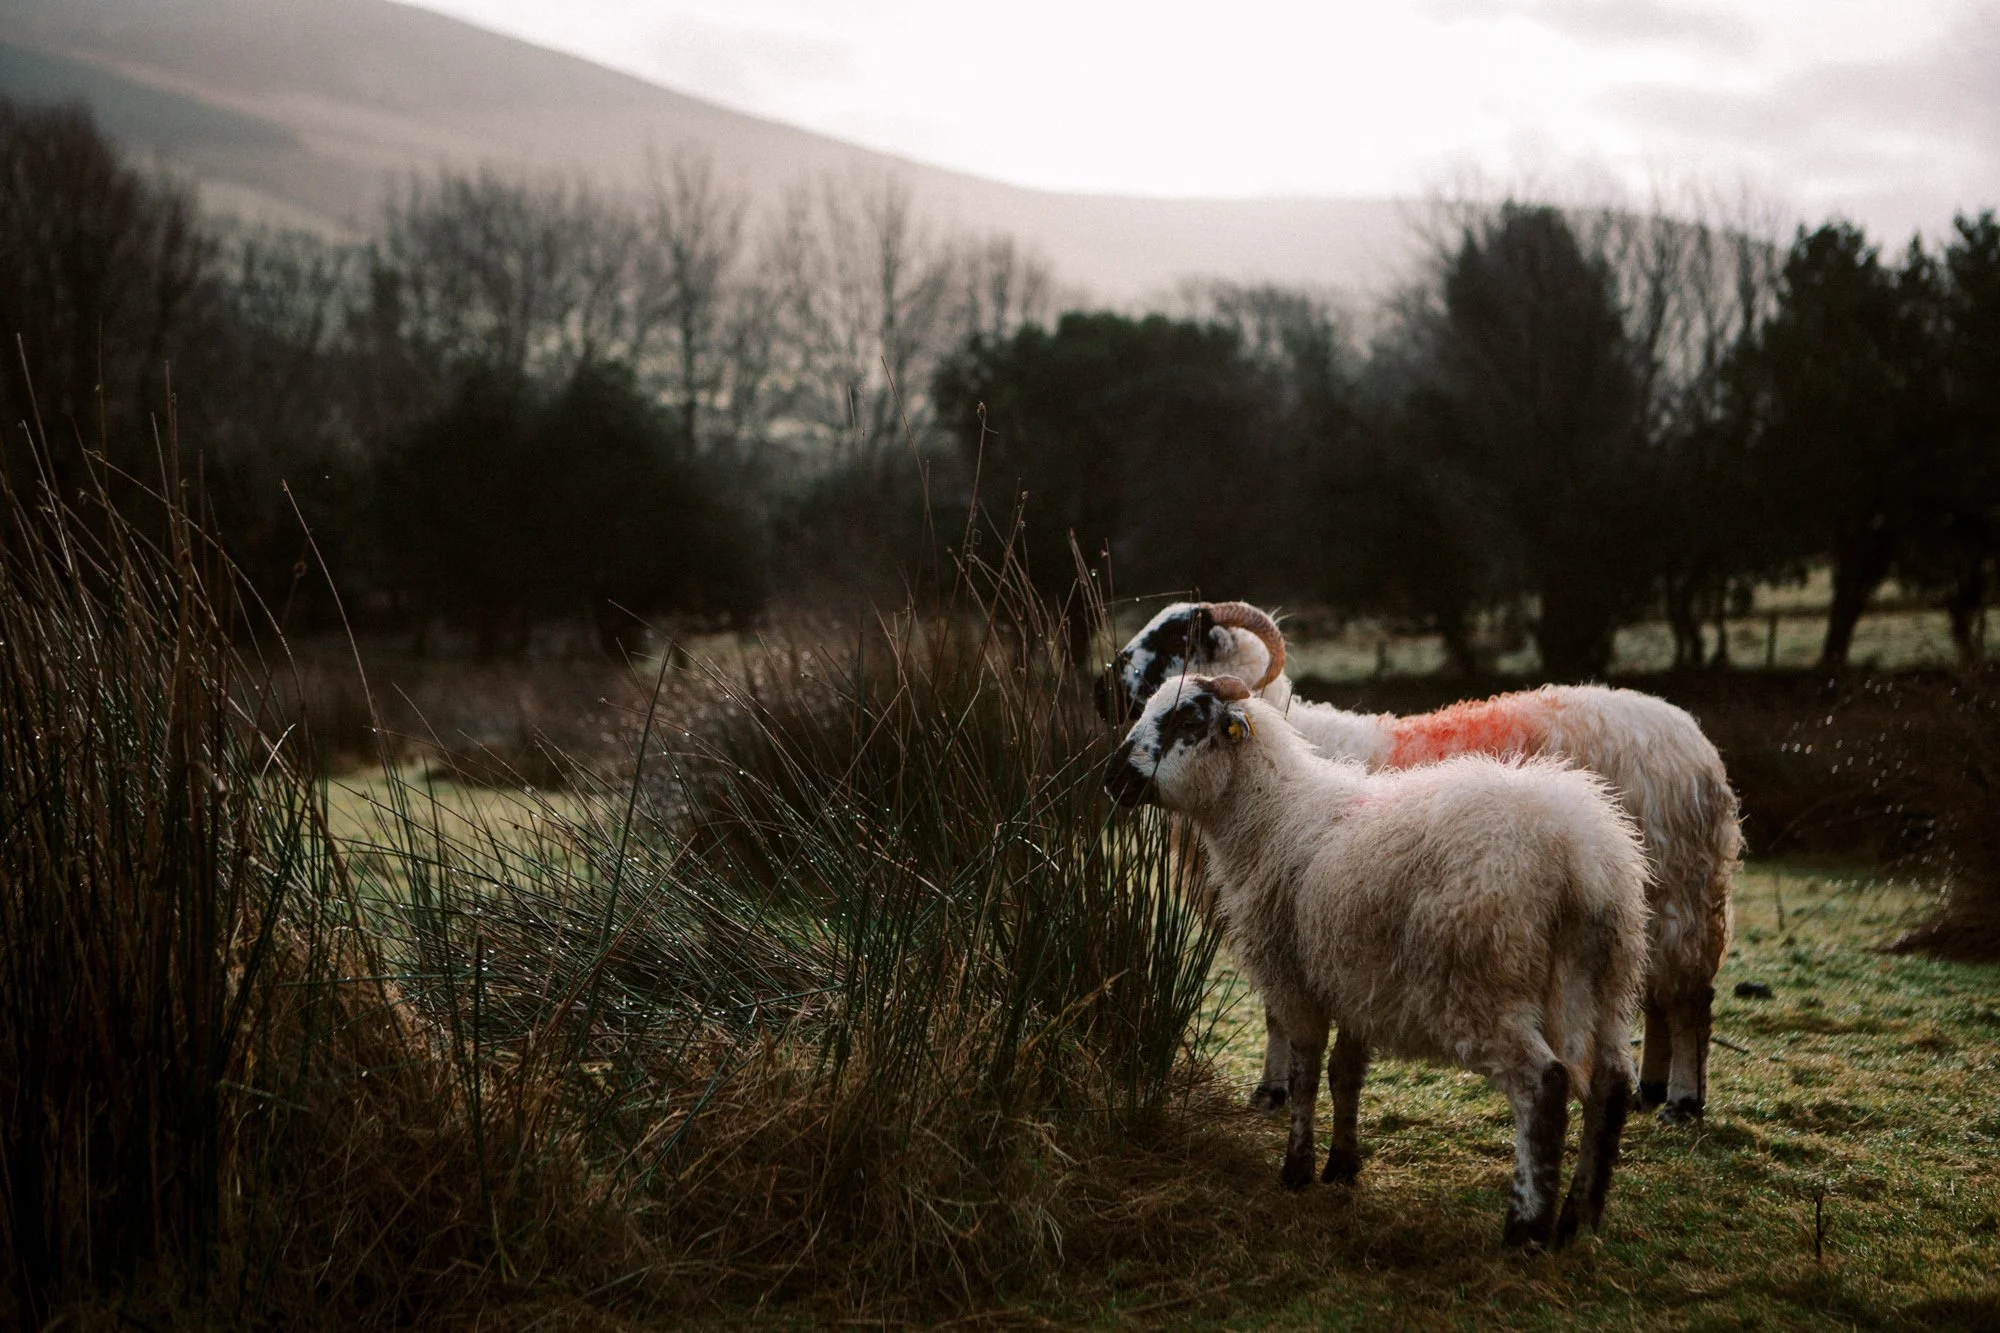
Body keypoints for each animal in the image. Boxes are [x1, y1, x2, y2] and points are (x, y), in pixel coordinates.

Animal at [1101, 600, 1739, 1124]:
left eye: (1179, 634)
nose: (1106, 680)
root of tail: (1695, 740)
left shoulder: (1290, 905)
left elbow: (1280, 1012)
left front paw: (1272, 1091)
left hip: (1679, 888)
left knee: (1691, 998)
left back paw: (1683, 1101)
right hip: (1647, 900)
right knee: (1658, 994)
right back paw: (1652, 1089)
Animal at [1105, 674, 1650, 1248]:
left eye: (1187, 721)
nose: (1111, 778)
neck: (1270, 814)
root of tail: (1578, 855)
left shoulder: (1295, 981)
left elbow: (1304, 1071)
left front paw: (1296, 1170)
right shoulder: (1356, 980)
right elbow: (1345, 1072)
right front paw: (1342, 1166)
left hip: (1482, 983)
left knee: (1543, 1083)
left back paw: (1525, 1227)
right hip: (1607, 981)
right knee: (1611, 1083)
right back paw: (1579, 1217)